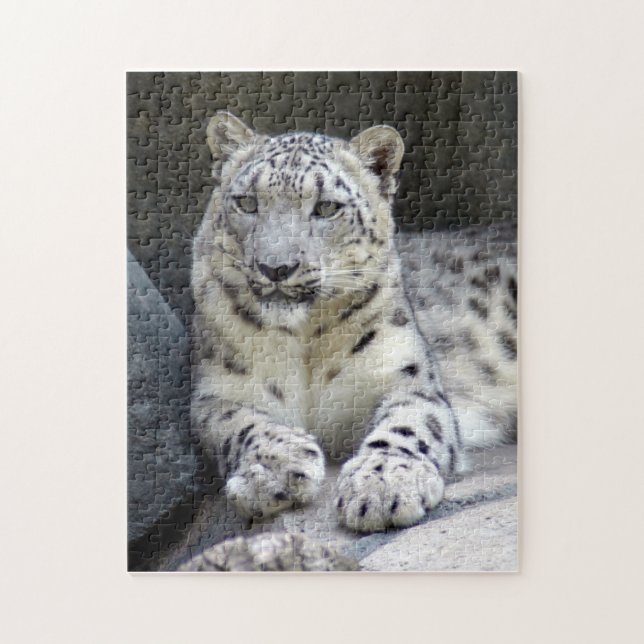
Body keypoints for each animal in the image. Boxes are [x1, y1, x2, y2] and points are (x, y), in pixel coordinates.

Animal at [191, 111, 517, 534]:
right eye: (247, 202)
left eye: (327, 208)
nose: (275, 267)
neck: (304, 345)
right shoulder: (217, 391)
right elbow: (237, 423)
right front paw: (275, 468)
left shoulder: (406, 375)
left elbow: (409, 423)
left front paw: (383, 483)